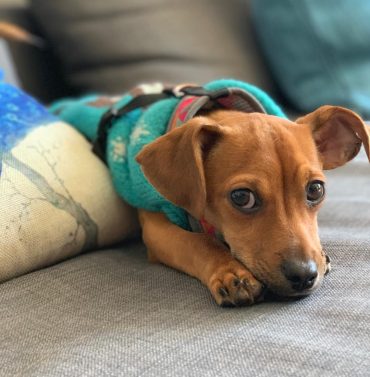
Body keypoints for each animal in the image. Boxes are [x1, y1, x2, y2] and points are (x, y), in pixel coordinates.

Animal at [137, 106, 370, 306]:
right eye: (242, 197)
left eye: (315, 190)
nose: (304, 276)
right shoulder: (156, 228)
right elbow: (198, 242)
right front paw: (231, 272)